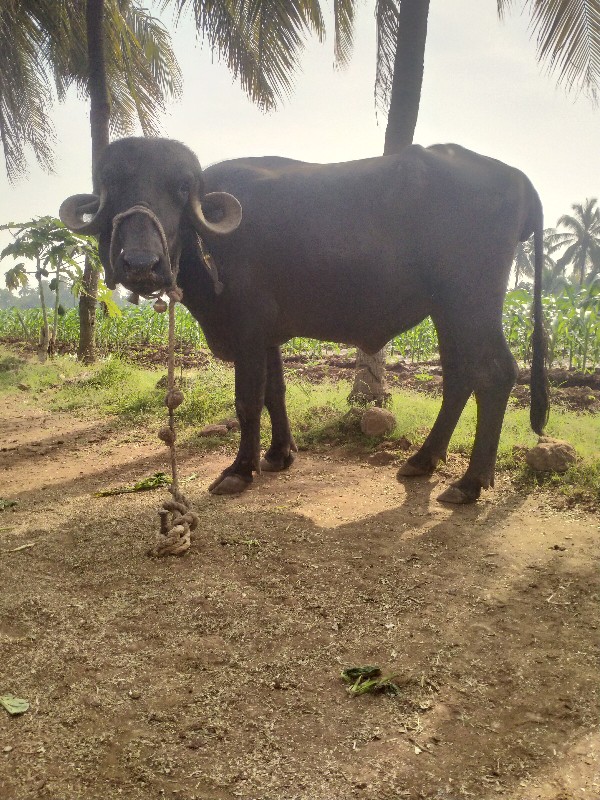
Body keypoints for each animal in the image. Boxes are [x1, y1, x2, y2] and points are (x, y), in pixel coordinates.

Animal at [62, 137, 548, 500]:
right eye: (112, 184)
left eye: (181, 187)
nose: (140, 264)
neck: (210, 243)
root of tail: (521, 180)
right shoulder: (268, 336)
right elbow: (275, 394)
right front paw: (280, 455)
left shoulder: (248, 330)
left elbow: (247, 402)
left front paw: (240, 470)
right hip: (447, 311)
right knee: (460, 376)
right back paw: (423, 460)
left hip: (472, 303)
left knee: (496, 373)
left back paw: (470, 482)